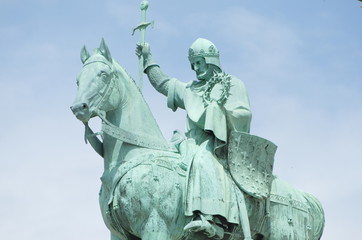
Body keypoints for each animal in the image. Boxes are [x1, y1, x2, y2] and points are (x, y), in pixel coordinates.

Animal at [70, 38, 326, 239]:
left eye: (103, 74)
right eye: (78, 79)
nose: (79, 107)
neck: (139, 152)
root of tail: (303, 197)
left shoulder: (155, 228)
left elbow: (239, 111)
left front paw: (215, 106)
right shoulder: (119, 235)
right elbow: (168, 85)